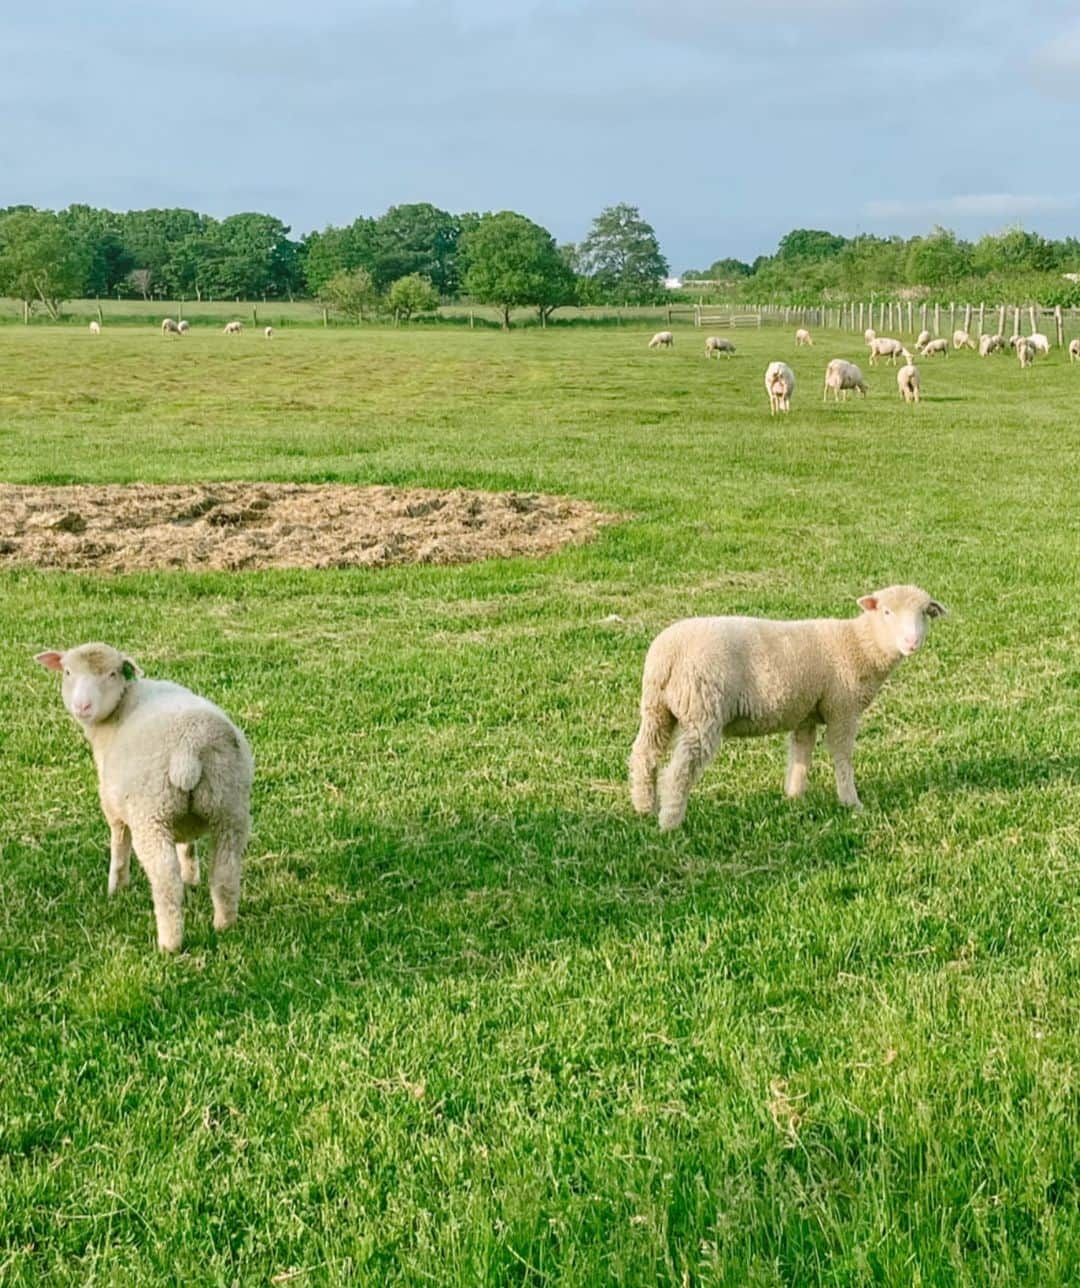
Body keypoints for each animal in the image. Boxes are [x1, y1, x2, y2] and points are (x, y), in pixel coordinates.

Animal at [34, 641, 256, 953]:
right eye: (67, 672)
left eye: (112, 674)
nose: (82, 707)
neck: (120, 707)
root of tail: (190, 746)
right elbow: (188, 846)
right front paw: (192, 877)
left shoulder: (113, 805)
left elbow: (118, 847)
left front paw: (116, 889)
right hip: (229, 806)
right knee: (226, 872)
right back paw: (224, 926)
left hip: (151, 813)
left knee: (166, 881)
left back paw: (169, 944)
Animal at [625, 582, 947, 824]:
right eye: (887, 611)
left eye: (924, 614)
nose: (911, 642)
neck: (858, 645)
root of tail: (667, 654)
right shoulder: (842, 708)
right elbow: (841, 756)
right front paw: (851, 802)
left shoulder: (806, 712)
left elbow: (801, 753)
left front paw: (794, 796)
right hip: (701, 712)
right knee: (679, 770)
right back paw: (670, 821)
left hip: (657, 708)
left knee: (644, 753)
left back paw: (644, 807)